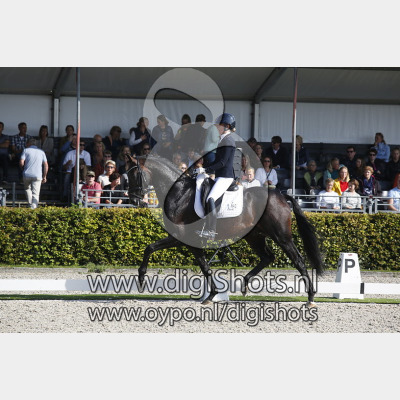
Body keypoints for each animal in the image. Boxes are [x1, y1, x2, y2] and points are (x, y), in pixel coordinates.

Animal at [127, 154, 325, 305]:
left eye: (135, 175)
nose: (135, 200)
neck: (180, 194)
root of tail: (282, 196)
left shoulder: (178, 236)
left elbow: (149, 248)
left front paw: (141, 280)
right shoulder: (191, 243)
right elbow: (205, 267)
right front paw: (212, 295)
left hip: (281, 237)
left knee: (298, 261)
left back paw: (310, 297)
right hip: (254, 237)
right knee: (268, 257)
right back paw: (245, 284)